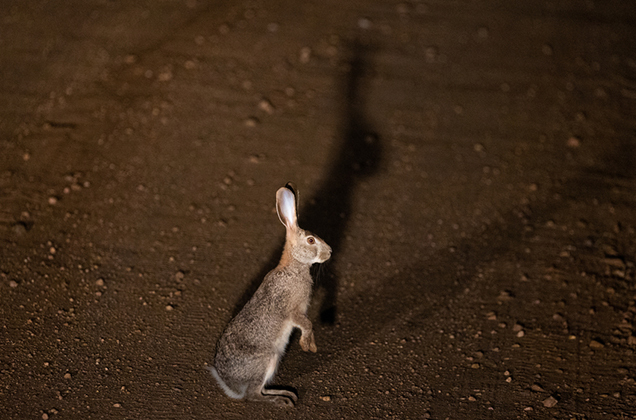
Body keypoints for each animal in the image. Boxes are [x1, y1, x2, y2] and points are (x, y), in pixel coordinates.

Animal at [209, 184, 332, 406]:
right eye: (311, 240)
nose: (330, 252)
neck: (294, 266)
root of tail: (231, 387)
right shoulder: (293, 312)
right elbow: (307, 324)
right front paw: (306, 345)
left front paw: (311, 346)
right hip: (267, 360)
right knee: (254, 395)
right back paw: (283, 400)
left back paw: (286, 394)